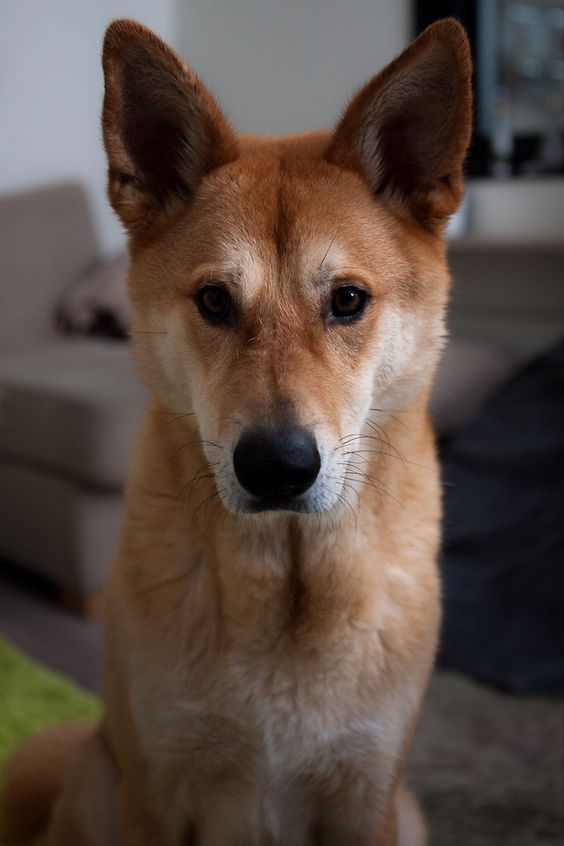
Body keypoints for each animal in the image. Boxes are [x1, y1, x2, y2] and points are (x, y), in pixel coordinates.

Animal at [1, 14, 472, 846]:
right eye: (215, 301)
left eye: (348, 300)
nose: (278, 466)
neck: (285, 581)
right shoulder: (155, 793)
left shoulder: (366, 798)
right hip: (99, 776)